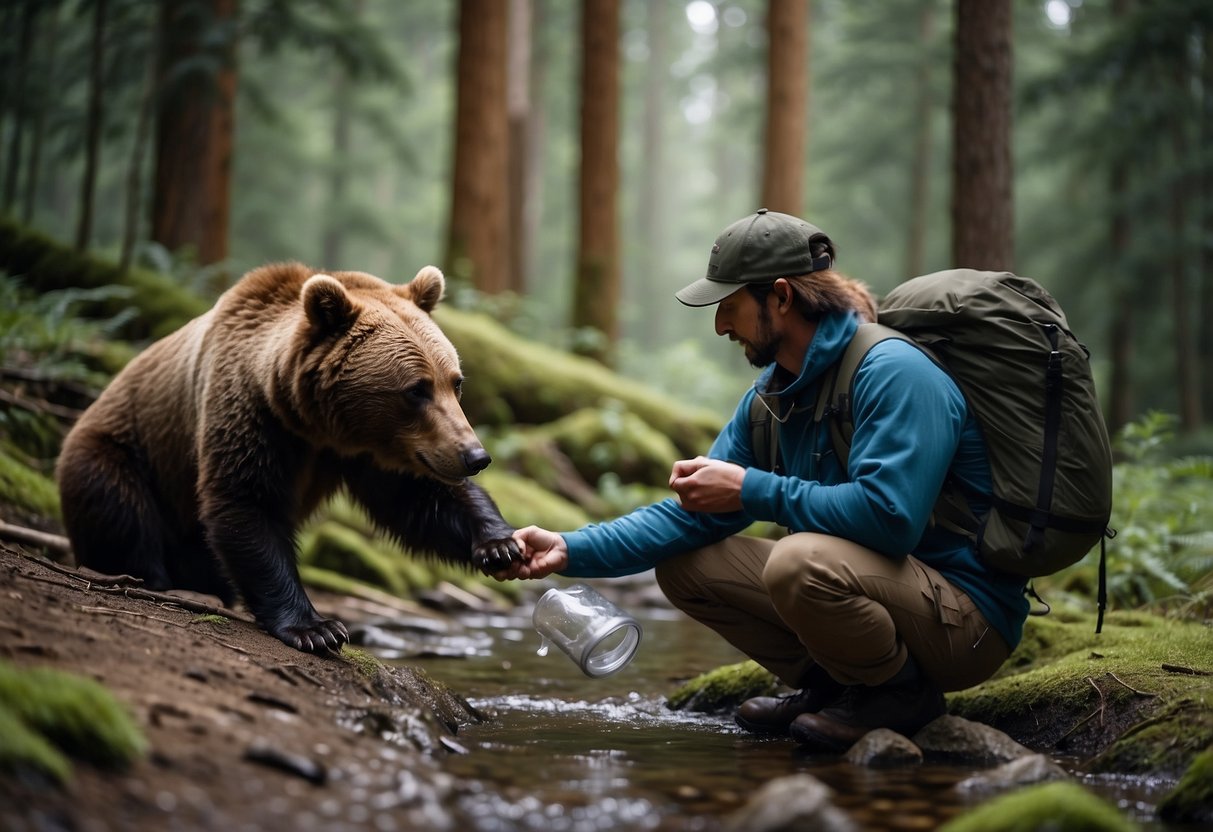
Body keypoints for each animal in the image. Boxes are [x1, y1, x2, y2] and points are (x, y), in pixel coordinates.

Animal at [54, 264, 519, 654]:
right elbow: (247, 502)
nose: (475, 456)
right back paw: (155, 578)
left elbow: (416, 500)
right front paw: (317, 628)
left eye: (455, 382)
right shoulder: (252, 416)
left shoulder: (368, 453)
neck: (317, 425)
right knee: (121, 510)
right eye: (416, 389)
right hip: (122, 453)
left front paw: (500, 543)